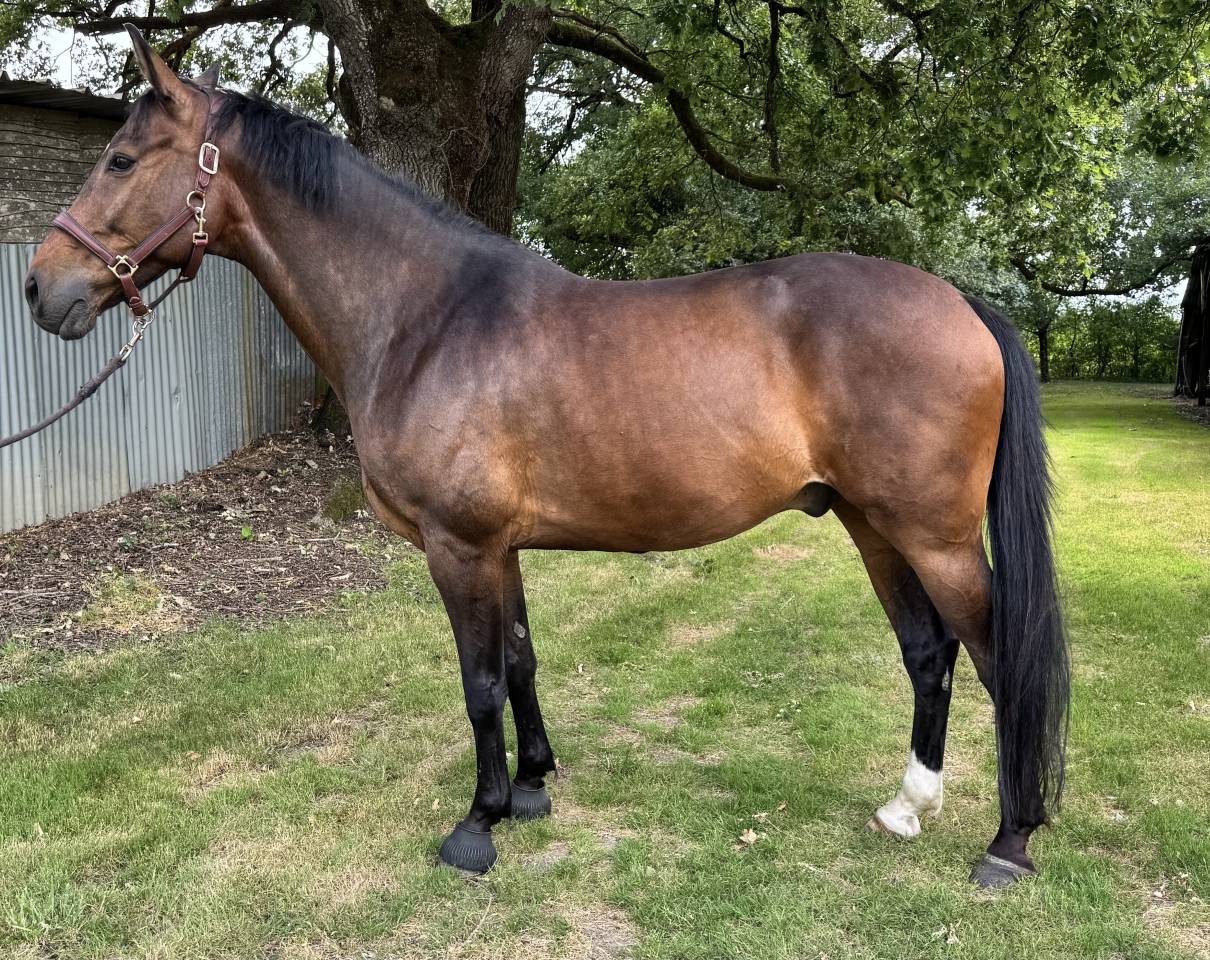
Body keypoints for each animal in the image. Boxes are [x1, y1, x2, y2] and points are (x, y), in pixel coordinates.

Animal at [23, 27, 1068, 889]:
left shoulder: (460, 547)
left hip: (932, 536)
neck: (426, 318)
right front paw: (531, 788)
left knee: (995, 659)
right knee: (928, 654)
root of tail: (961, 301)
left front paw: (477, 824)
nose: (40, 289)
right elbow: (522, 660)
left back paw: (1008, 843)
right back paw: (909, 806)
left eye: (121, 158)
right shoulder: (503, 547)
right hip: (871, 522)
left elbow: (480, 680)